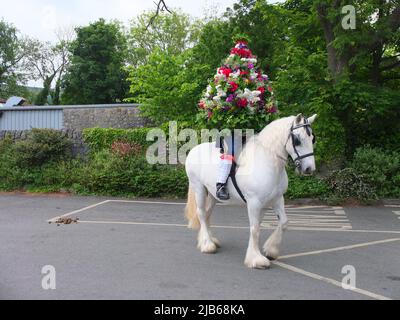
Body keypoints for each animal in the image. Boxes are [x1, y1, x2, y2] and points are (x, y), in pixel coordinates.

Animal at [185, 114, 318, 268]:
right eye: (297, 140)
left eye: (312, 139)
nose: (309, 169)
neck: (269, 161)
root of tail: (194, 150)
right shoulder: (254, 202)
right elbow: (255, 229)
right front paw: (256, 259)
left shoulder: (276, 200)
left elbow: (282, 223)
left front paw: (270, 250)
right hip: (199, 188)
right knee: (201, 213)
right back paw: (207, 245)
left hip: (212, 195)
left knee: (207, 214)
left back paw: (210, 240)